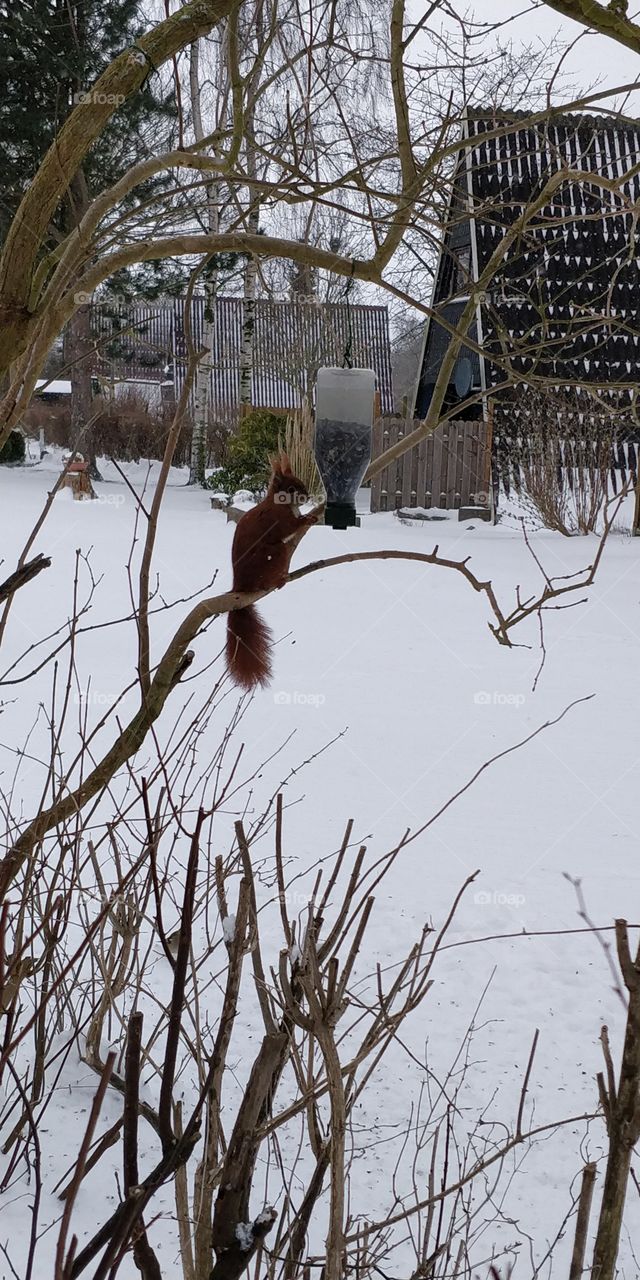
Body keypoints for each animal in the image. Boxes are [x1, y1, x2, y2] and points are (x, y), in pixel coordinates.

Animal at [226, 454, 317, 689]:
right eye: (291, 488)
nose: (307, 496)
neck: (281, 504)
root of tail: (240, 586)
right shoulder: (278, 519)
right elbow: (289, 527)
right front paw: (308, 519)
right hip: (274, 555)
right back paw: (277, 580)